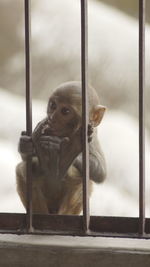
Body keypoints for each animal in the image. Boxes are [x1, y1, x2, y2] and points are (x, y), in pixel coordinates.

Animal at [15, 81, 106, 216]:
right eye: (53, 105)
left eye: (65, 111)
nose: (52, 118)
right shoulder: (44, 126)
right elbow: (27, 157)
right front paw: (26, 145)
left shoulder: (92, 135)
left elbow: (101, 173)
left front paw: (68, 148)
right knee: (26, 168)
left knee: (78, 178)